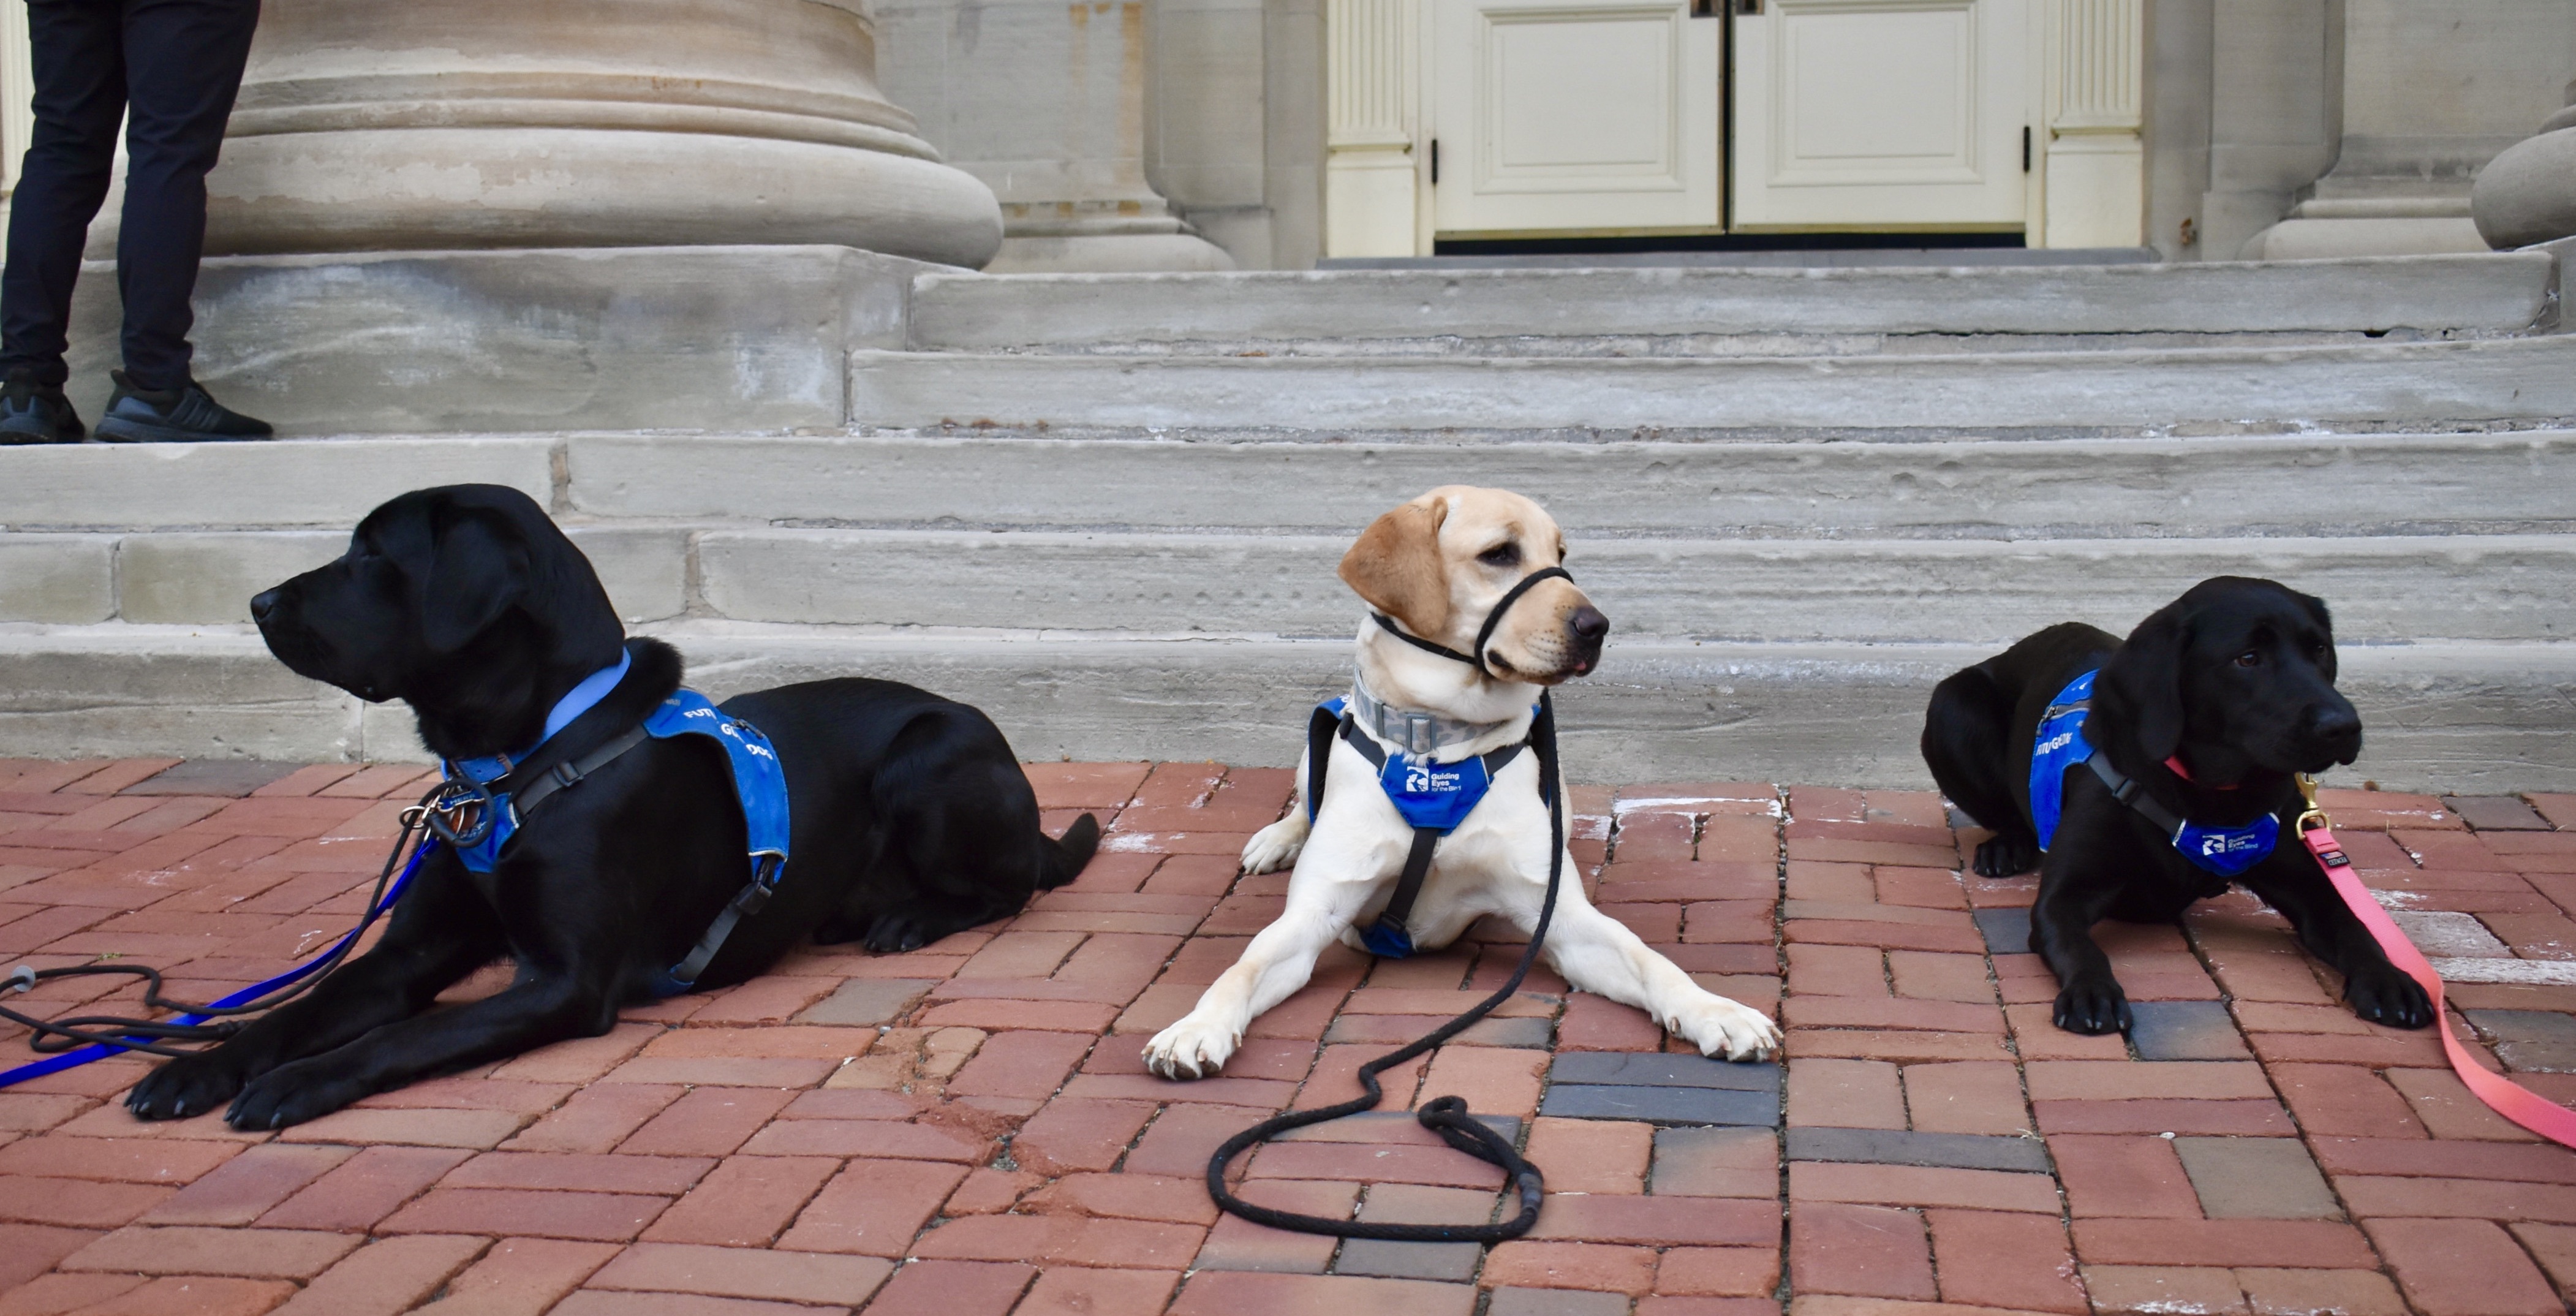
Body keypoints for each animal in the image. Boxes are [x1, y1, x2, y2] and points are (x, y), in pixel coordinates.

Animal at [130, 486, 1097, 1133]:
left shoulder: (565, 981)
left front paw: (294, 1084)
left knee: (1013, 886)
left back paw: (908, 917)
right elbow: (295, 1013)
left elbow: (406, 1038)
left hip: (928, 756)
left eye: (374, 557)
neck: (513, 766)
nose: (257, 602)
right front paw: (198, 1069)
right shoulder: (407, 955)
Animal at [1144, 486, 1772, 1081]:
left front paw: (1715, 1010)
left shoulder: (1562, 918)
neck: (1436, 747)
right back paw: (1278, 838)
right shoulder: (1312, 914)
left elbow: (1649, 958)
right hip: (1320, 735)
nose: (1597, 627)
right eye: (1499, 554)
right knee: (1305, 795)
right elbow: (1241, 967)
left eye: (1561, 555)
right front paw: (1195, 1027)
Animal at [1916, 577, 2431, 1040]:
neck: (2210, 794)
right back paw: (2005, 847)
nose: (2343, 726)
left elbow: (2355, 928)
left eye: (2319, 650)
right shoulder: (2062, 897)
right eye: (2247, 658)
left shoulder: (2310, 885)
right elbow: (2079, 946)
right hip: (1951, 706)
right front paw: (2092, 992)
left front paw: (2390, 980)